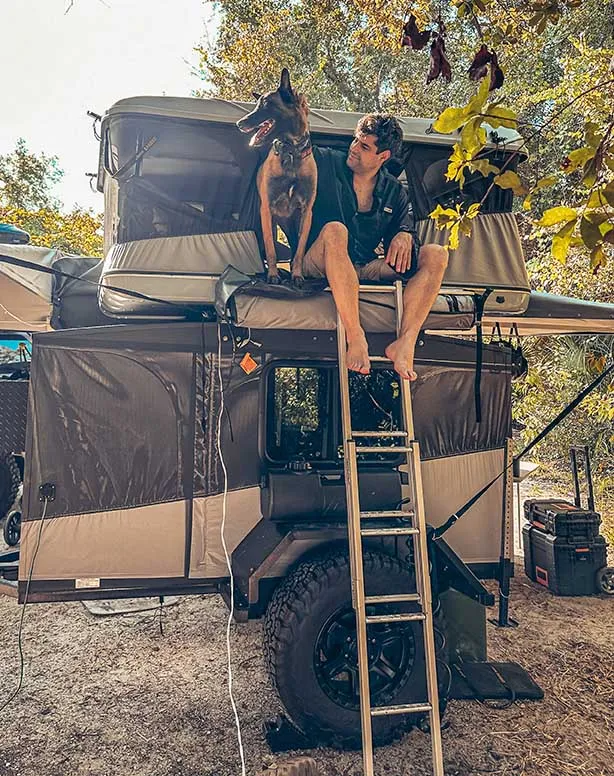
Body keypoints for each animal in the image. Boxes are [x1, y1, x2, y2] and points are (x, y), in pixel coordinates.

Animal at [237, 68, 318, 286]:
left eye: (266, 104)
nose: (239, 123)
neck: (290, 153)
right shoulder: (266, 209)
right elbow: (271, 249)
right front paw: (273, 275)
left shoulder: (306, 212)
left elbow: (299, 251)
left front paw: (297, 275)